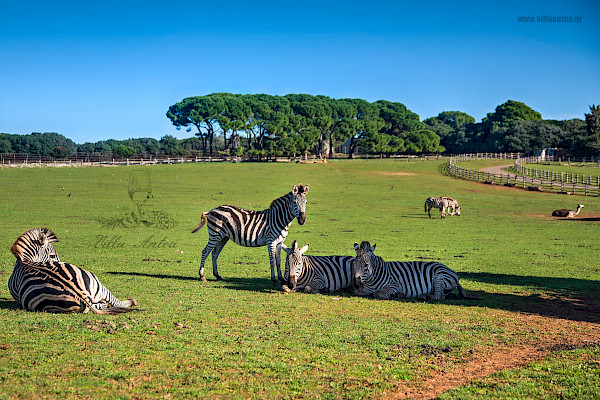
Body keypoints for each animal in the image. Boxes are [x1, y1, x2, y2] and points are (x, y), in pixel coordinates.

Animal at [8, 228, 140, 312]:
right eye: (52, 255)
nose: (59, 261)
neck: (25, 260)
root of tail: (80, 294)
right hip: (97, 282)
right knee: (109, 303)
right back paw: (131, 301)